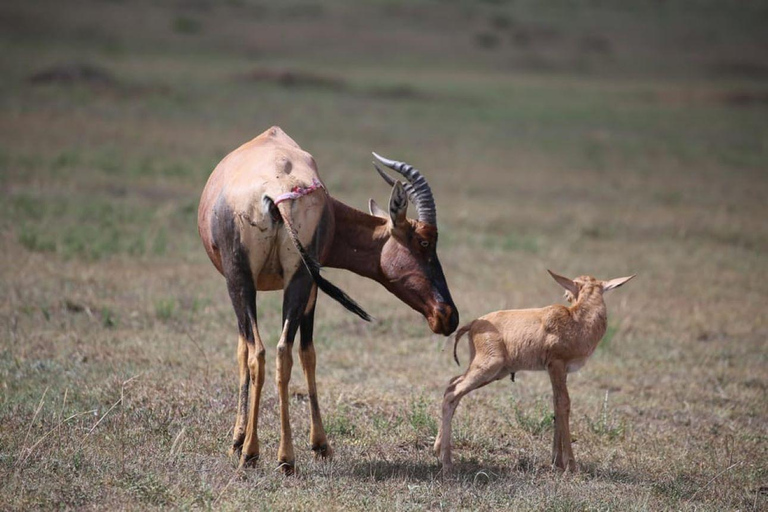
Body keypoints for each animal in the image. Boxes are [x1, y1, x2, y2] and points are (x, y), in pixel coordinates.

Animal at [198, 126, 460, 474]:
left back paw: (264, 455)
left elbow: (270, 352)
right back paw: (275, 456)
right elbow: (300, 353)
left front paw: (248, 443)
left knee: (265, 352)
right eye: (424, 241)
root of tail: (276, 189)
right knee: (275, 351)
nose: (448, 316)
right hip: (282, 279)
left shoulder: (279, 282)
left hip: (257, 279)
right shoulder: (308, 281)